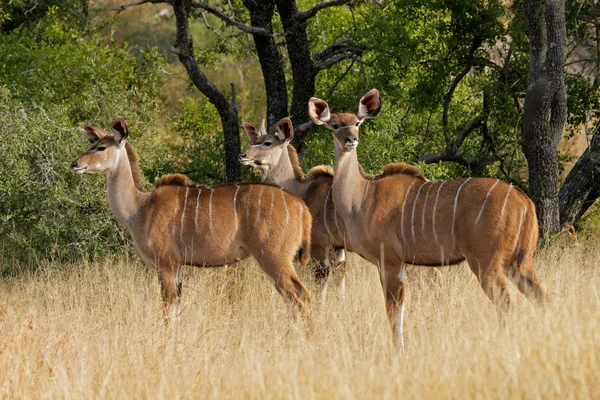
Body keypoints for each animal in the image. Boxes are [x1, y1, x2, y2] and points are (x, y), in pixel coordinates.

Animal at [71, 117, 314, 320]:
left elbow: (168, 311)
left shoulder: (167, 264)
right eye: (92, 144)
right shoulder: (178, 267)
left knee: (301, 296)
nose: (75, 164)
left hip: (274, 257)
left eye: (101, 147)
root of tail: (302, 208)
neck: (139, 209)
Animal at [239, 117, 350, 280]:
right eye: (255, 141)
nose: (243, 155)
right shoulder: (339, 248)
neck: (301, 190)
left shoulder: (319, 246)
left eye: (267, 143)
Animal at [310, 90, 548, 344]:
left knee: (506, 303)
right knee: (541, 298)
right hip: (519, 261)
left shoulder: (390, 261)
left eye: (357, 123)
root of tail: (525, 202)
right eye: (335, 125)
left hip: (486, 261)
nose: (351, 140)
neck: (362, 197)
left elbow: (394, 312)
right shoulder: (400, 264)